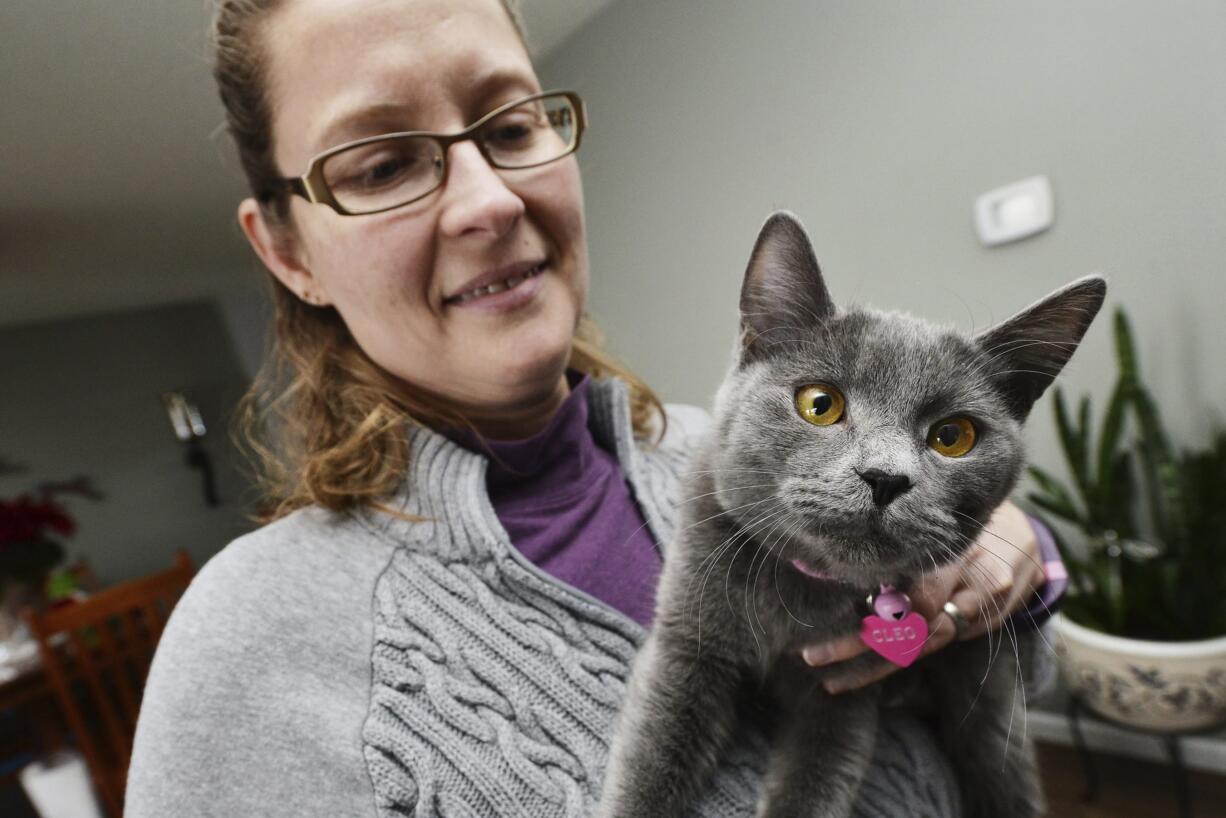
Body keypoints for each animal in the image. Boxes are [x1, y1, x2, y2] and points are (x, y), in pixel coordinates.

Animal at [595, 213, 1113, 818]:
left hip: (988, 710)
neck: (801, 600)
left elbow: (815, 785)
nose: (885, 477)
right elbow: (651, 759)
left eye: (953, 436)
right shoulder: (685, 644)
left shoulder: (846, 692)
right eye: (820, 404)